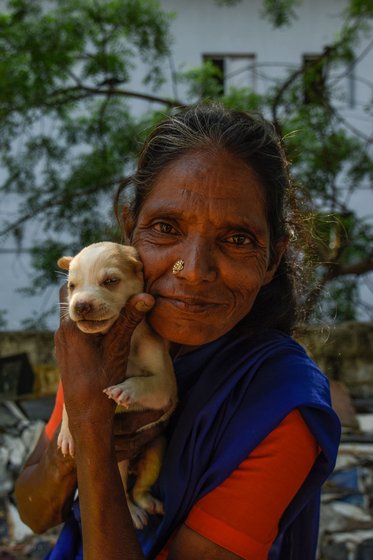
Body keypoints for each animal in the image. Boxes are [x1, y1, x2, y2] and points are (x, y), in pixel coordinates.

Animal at [56, 242, 176, 528]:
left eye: (110, 281)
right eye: (72, 286)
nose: (80, 305)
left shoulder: (167, 387)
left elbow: (147, 384)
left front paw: (126, 390)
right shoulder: (69, 377)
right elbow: (68, 402)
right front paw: (66, 433)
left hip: (156, 450)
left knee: (137, 490)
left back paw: (142, 508)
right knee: (123, 488)